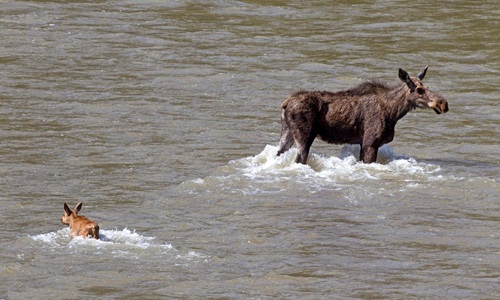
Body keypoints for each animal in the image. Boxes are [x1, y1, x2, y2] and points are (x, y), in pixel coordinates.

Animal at [278, 66, 450, 164]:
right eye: (419, 90)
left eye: (428, 87)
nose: (443, 103)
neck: (393, 112)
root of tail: (285, 103)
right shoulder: (370, 143)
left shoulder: (364, 144)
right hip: (304, 135)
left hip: (287, 132)